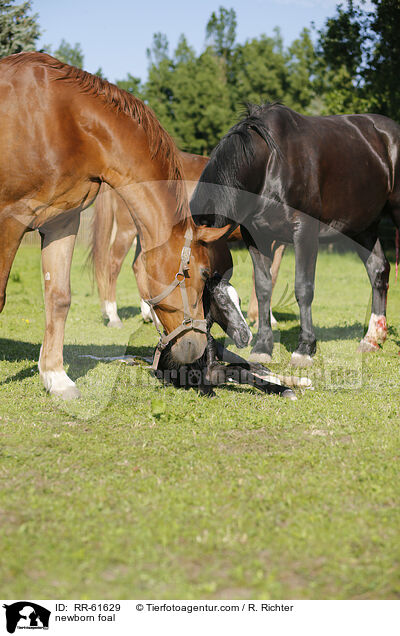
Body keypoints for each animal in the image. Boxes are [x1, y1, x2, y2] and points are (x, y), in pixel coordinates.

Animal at [0, 54, 227, 400]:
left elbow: (59, 298)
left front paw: (56, 377)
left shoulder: (61, 221)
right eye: (200, 274)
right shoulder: (10, 220)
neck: (60, 120)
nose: (198, 346)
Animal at [191, 102, 400, 366]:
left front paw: (304, 349)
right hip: (363, 227)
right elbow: (263, 288)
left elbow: (303, 288)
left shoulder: (304, 233)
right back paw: (372, 338)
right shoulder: (256, 237)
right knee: (378, 270)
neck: (270, 164)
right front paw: (263, 346)